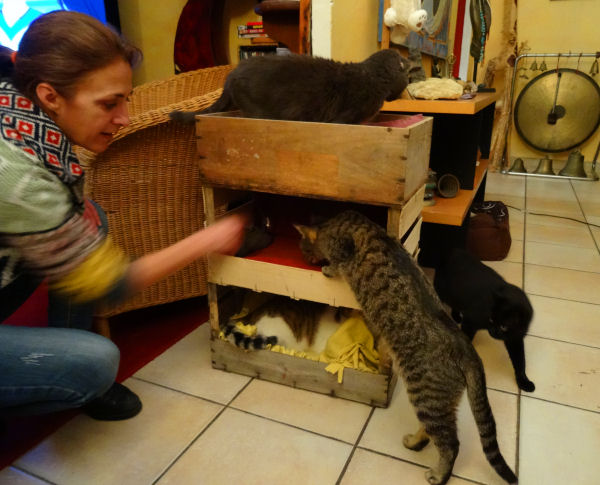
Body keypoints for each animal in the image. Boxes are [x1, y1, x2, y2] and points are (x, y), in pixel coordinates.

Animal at [295, 211, 517, 485]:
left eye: (304, 249)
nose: (307, 259)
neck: (335, 222)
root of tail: (469, 351)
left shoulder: (344, 248)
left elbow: (337, 262)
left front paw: (327, 267)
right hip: (437, 403)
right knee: (435, 432)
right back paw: (415, 442)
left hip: (426, 396)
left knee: (451, 444)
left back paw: (439, 474)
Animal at [433, 247, 535, 392]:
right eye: (491, 319)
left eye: (504, 326)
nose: (492, 331)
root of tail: (452, 251)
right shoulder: (470, 322)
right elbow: (467, 338)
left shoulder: (515, 339)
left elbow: (520, 362)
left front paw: (524, 382)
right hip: (444, 292)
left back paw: (456, 317)